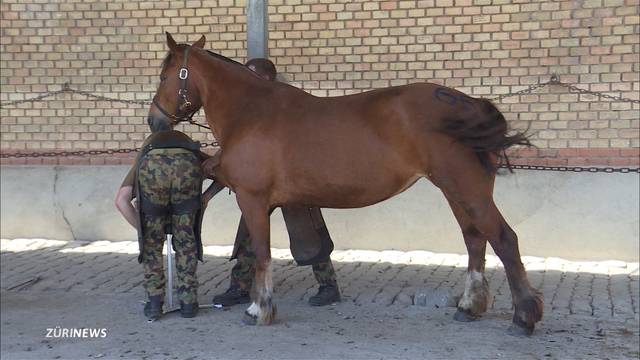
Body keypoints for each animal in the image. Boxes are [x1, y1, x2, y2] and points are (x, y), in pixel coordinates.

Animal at [148, 33, 544, 334]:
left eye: (165, 76)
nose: (154, 121)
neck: (250, 112)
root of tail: (469, 104)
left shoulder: (253, 200)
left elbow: (261, 252)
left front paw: (259, 309)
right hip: (455, 191)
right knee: (475, 239)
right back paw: (469, 306)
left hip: (467, 189)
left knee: (504, 240)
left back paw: (524, 317)